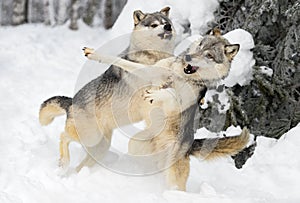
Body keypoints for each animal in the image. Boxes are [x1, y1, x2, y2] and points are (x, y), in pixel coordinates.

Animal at [39, 6, 177, 171]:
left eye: (166, 22)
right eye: (154, 25)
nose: (167, 27)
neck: (155, 57)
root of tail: (71, 102)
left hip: (99, 147)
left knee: (81, 165)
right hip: (91, 137)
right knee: (63, 136)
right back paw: (64, 162)